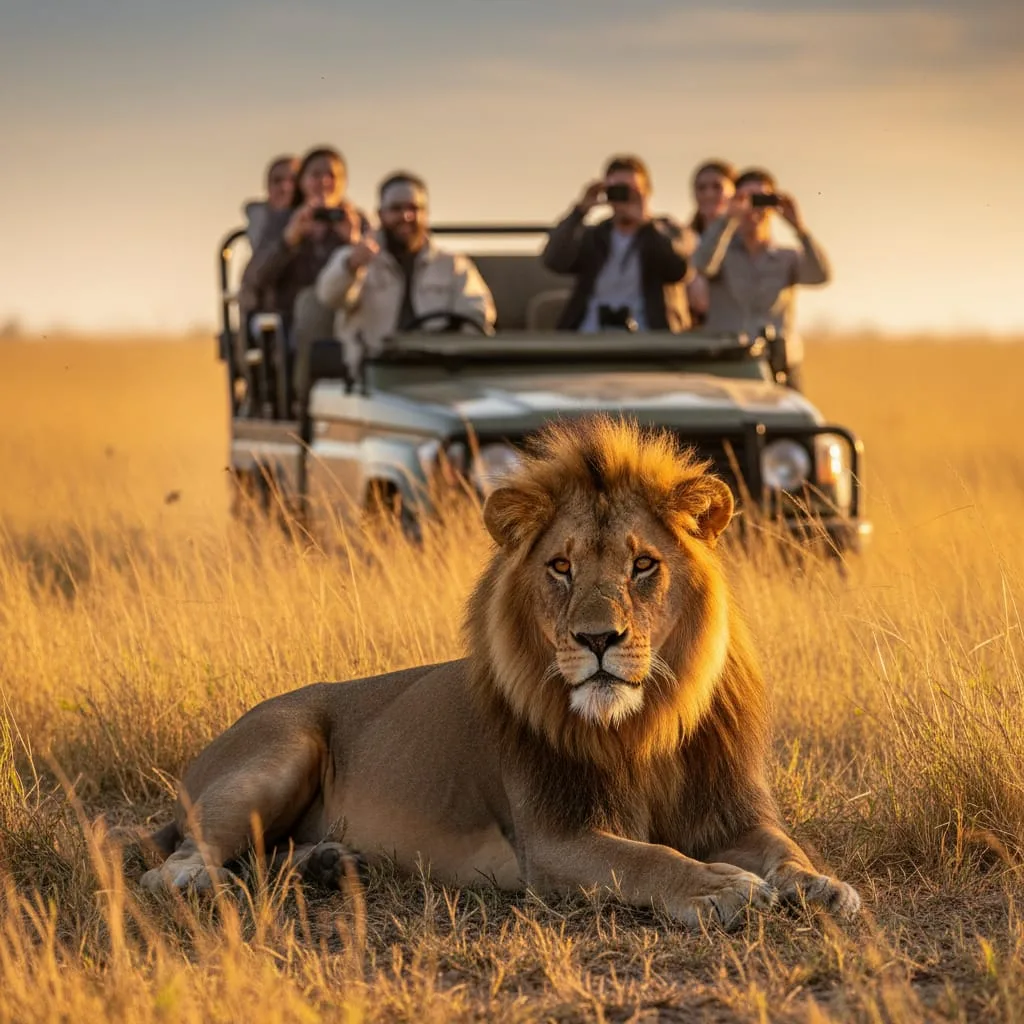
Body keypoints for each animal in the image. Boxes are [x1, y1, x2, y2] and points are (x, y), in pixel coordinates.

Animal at [139, 415, 860, 929]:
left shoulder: (733, 816)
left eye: (643, 565)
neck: (648, 723)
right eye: (561, 566)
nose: (598, 639)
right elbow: (643, 857)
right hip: (281, 749)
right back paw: (219, 881)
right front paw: (717, 886)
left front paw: (822, 886)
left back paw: (328, 862)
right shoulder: (552, 841)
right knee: (171, 866)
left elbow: (786, 849)